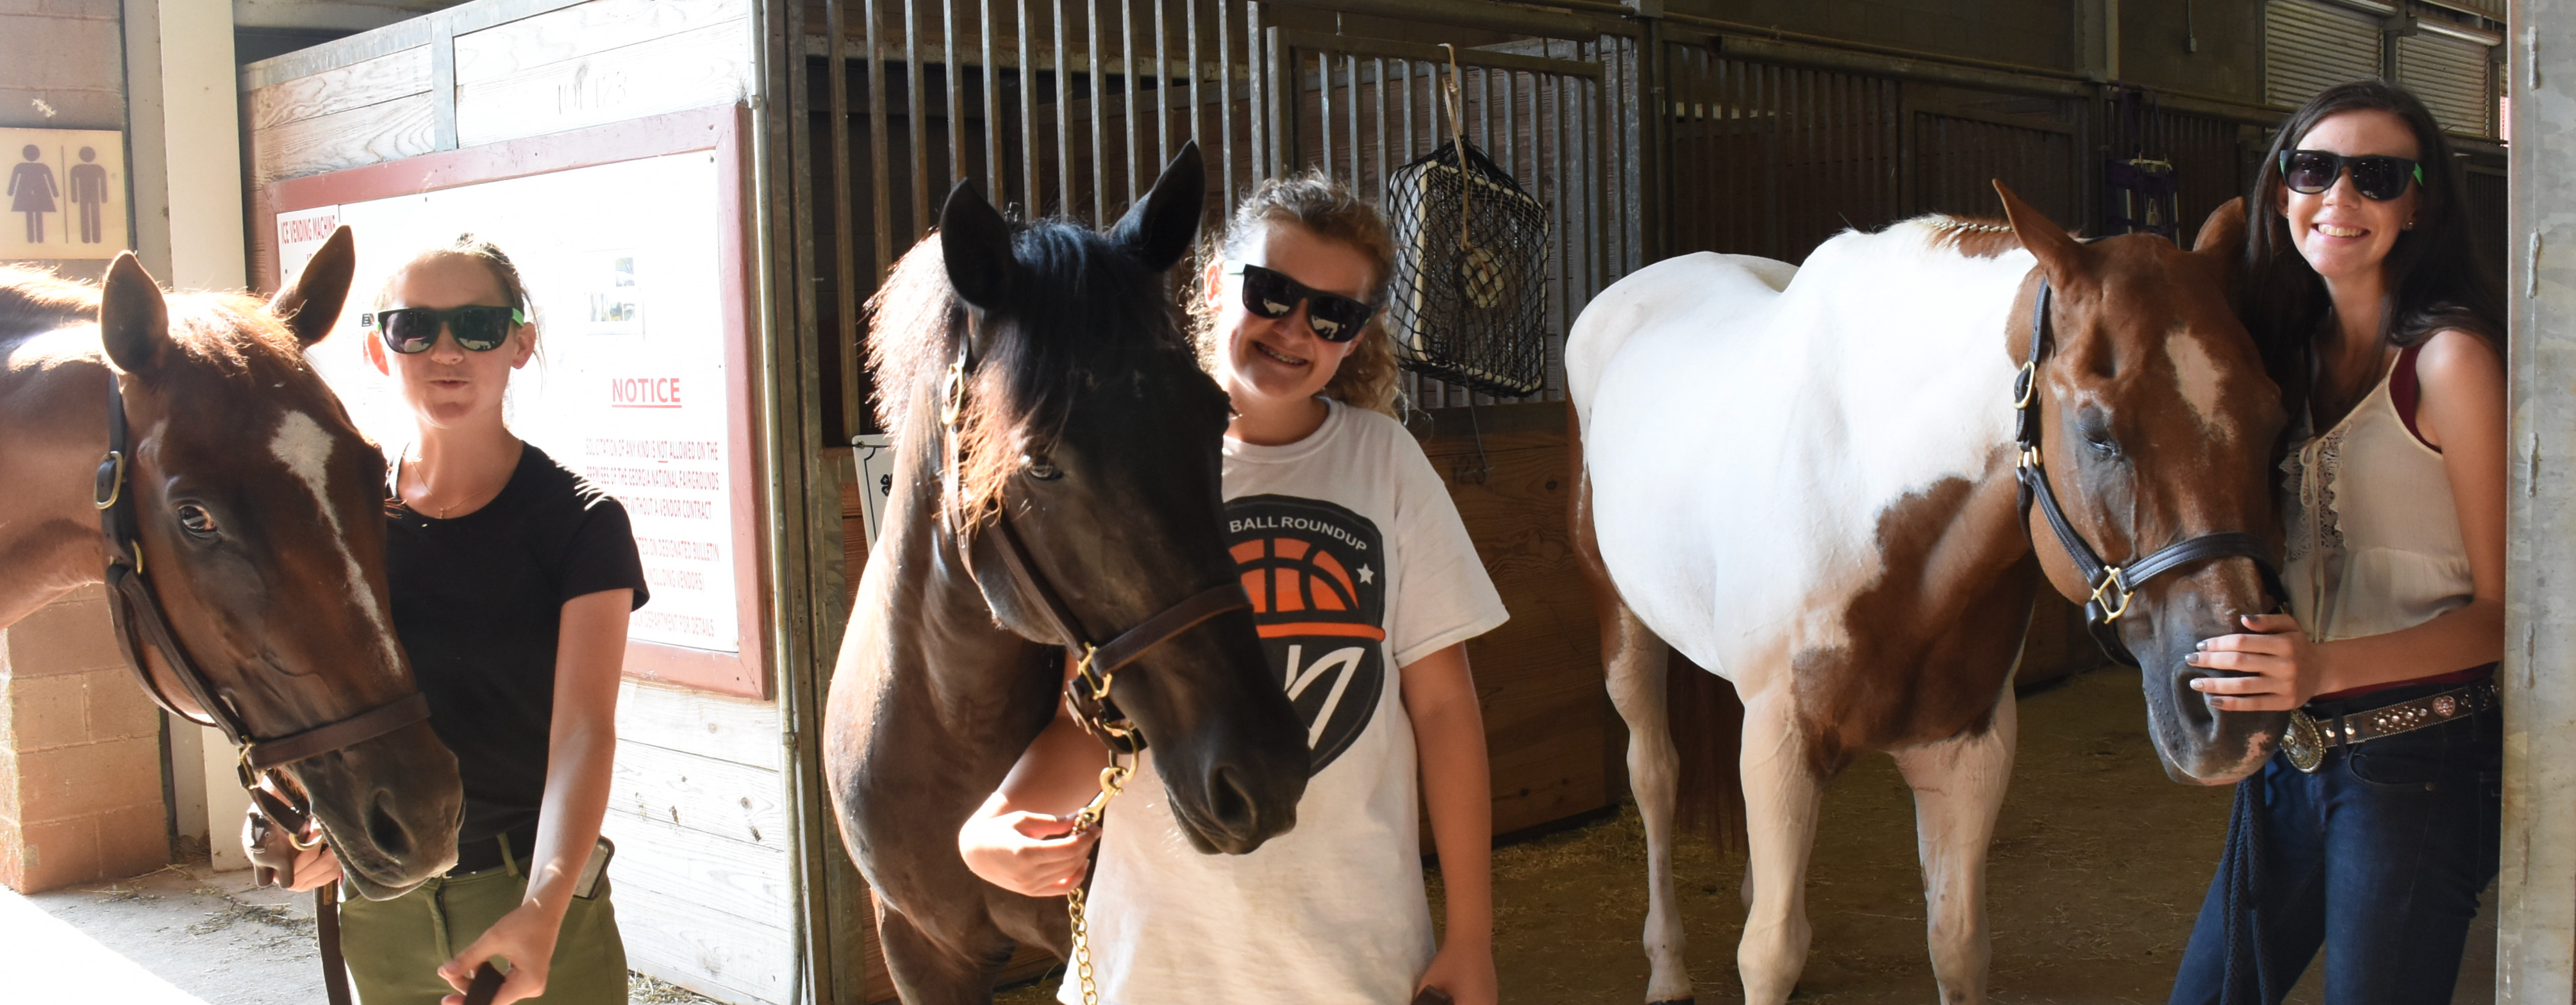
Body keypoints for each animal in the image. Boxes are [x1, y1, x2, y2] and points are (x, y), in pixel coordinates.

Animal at [1566, 190, 2297, 1005]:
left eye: (2272, 420)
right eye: (2096, 430)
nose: (2235, 715)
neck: (1863, 492)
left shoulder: (1964, 748)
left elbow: (1956, 943)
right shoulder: (1783, 734)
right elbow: (1768, 951)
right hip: (1625, 628)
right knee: (1655, 775)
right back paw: (1666, 967)